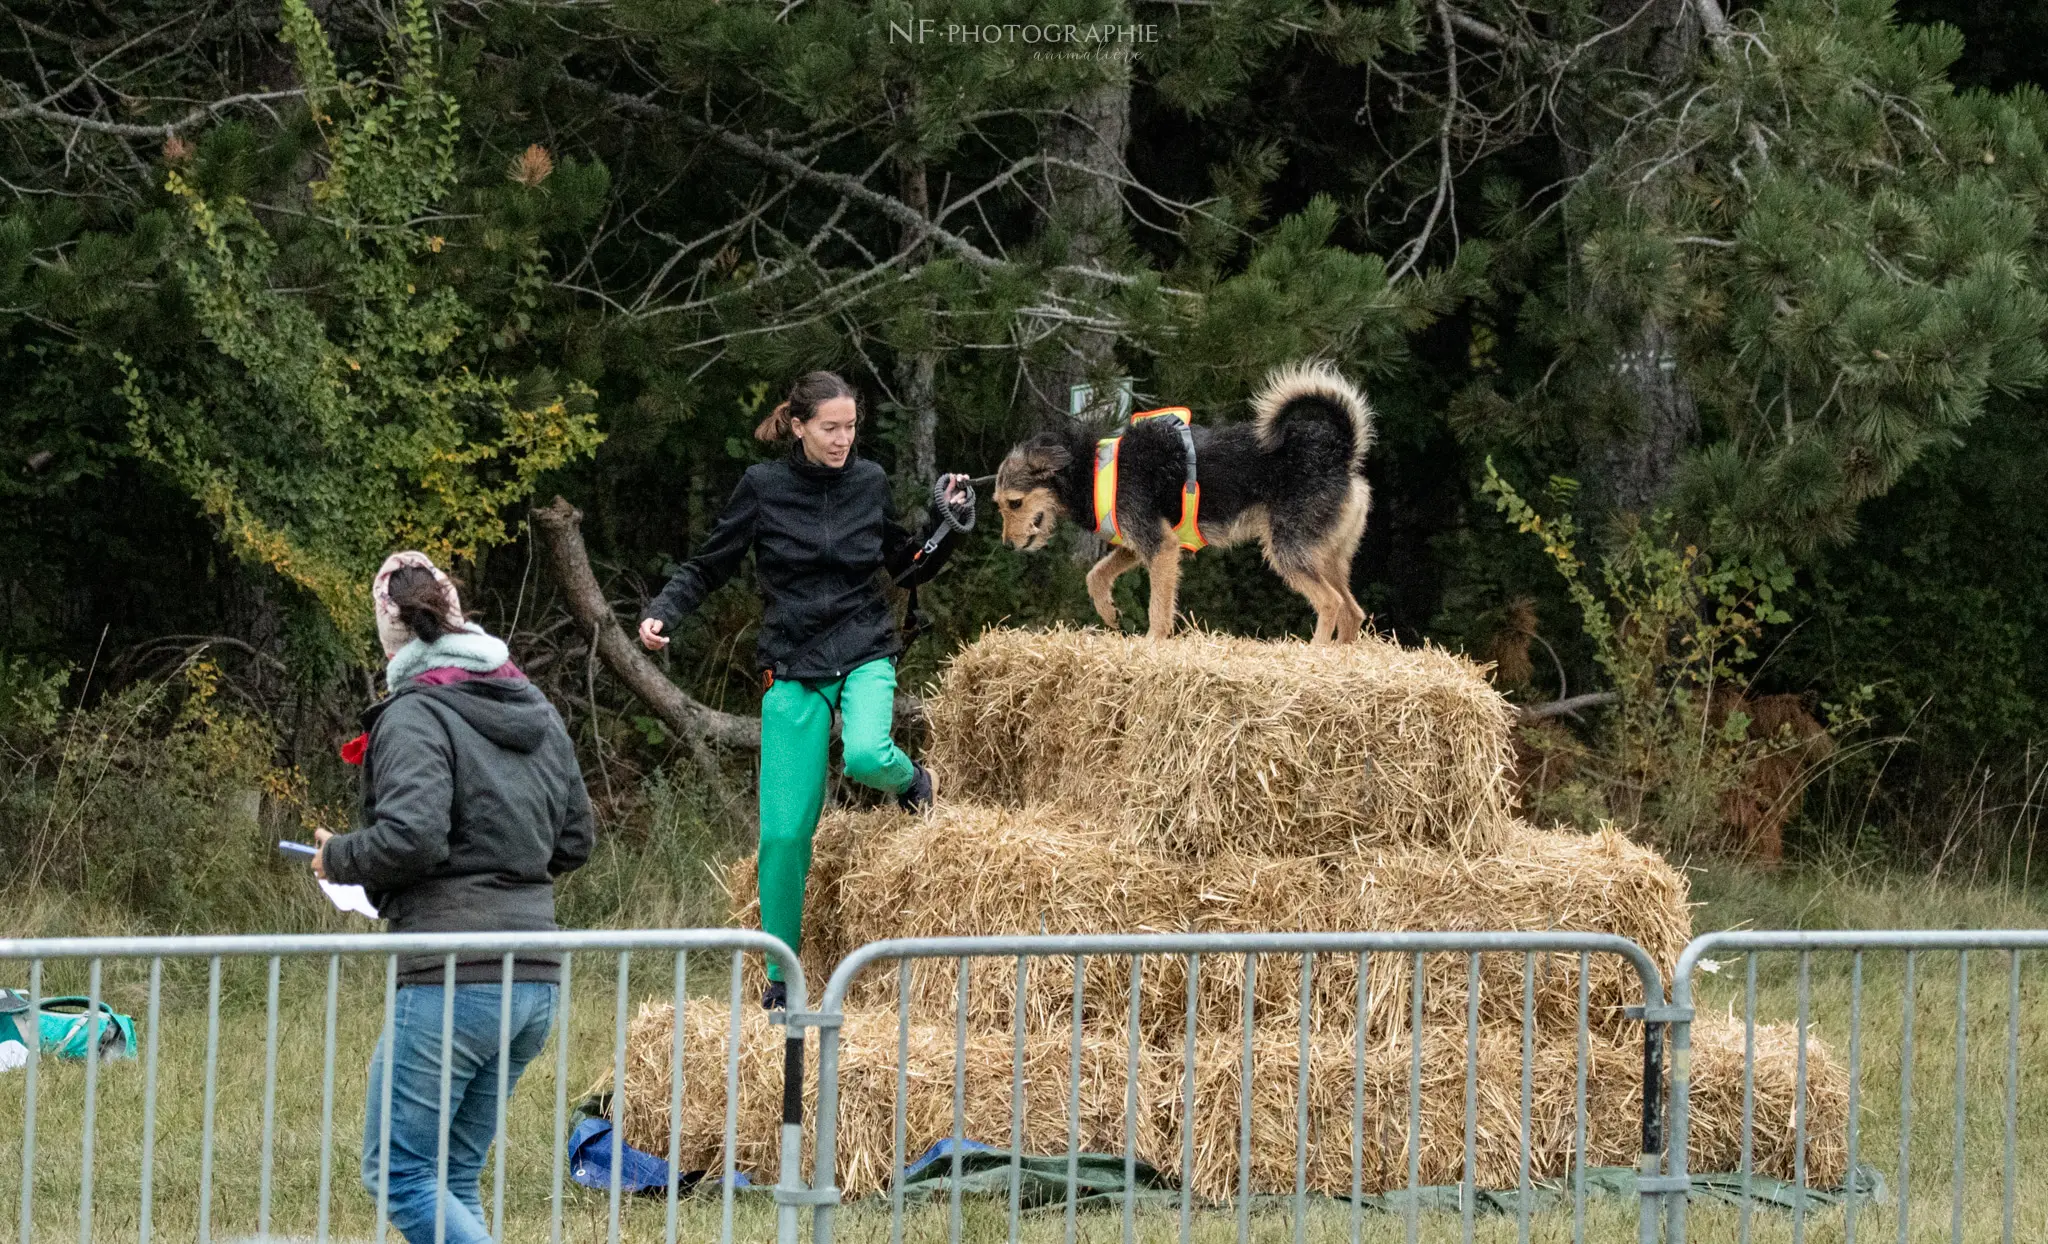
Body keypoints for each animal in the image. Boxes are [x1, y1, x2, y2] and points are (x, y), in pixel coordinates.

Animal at [991, 362, 1376, 643]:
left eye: (1014, 503)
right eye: (998, 504)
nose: (1007, 546)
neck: (1091, 469)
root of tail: (1339, 453)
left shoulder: (1160, 546)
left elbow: (1158, 609)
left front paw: (1152, 644)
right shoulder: (1136, 545)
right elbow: (1095, 575)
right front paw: (1108, 612)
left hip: (1289, 549)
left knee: (1330, 603)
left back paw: (1315, 651)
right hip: (1327, 556)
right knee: (1352, 611)